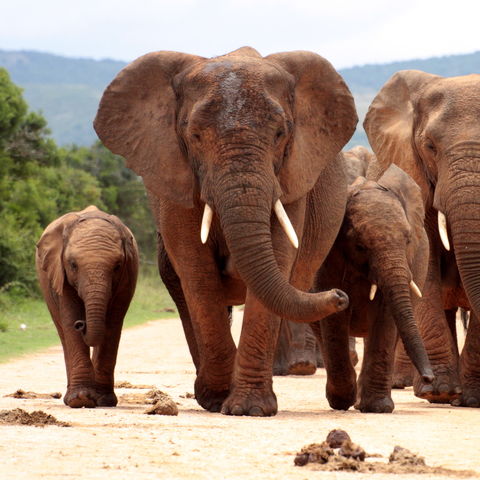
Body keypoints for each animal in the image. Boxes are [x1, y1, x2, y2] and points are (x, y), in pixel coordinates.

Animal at [35, 204, 137, 406]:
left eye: (117, 266)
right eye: (73, 265)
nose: (81, 324)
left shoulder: (127, 276)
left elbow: (113, 323)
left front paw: (103, 400)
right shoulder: (60, 272)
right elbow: (70, 318)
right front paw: (80, 399)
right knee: (62, 331)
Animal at [94, 46, 356, 416]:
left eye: (280, 134)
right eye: (195, 136)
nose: (340, 296)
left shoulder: (291, 177)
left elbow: (278, 258)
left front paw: (249, 409)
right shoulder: (174, 177)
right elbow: (196, 271)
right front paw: (219, 399)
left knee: (300, 290)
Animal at [314, 161, 434, 412]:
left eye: (408, 240)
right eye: (360, 246)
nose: (429, 378)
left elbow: (386, 315)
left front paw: (377, 407)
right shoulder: (328, 257)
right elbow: (334, 315)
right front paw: (343, 401)